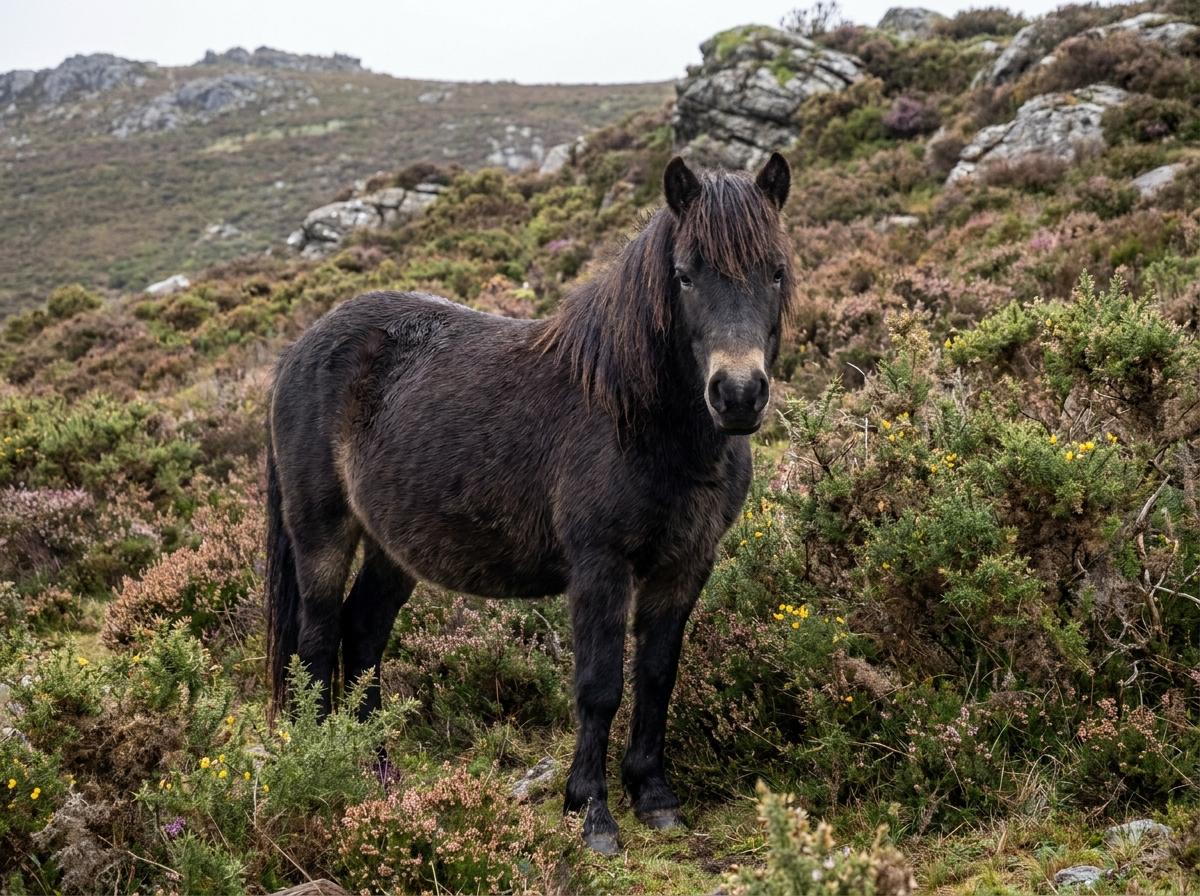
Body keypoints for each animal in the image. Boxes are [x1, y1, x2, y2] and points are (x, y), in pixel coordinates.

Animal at [265, 152, 793, 853]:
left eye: (776, 271)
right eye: (684, 276)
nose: (736, 395)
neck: (635, 417)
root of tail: (298, 349)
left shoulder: (685, 566)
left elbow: (657, 676)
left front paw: (654, 797)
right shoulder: (600, 566)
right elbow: (599, 686)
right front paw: (591, 812)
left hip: (391, 549)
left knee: (364, 632)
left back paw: (377, 772)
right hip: (322, 532)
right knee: (318, 642)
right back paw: (328, 763)